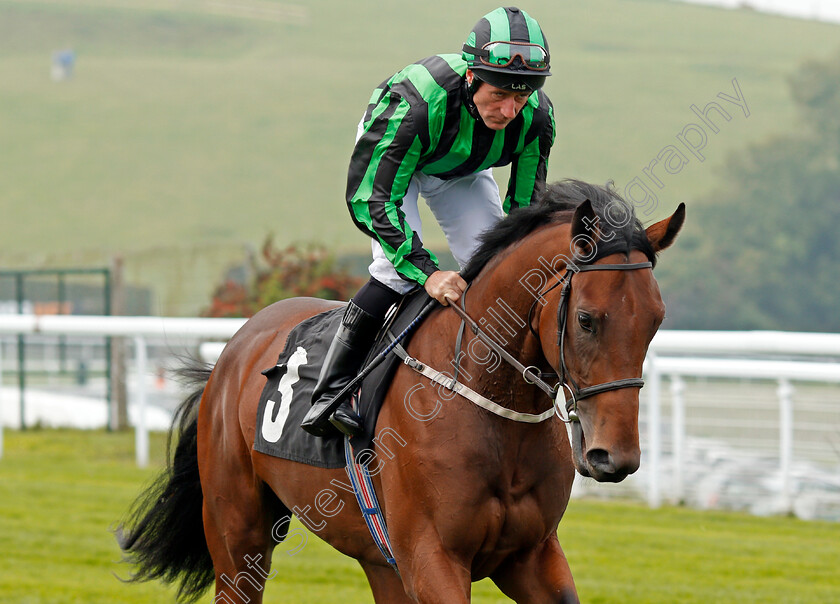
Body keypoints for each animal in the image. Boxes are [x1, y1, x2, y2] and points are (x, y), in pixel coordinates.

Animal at [118, 180, 684, 604]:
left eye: (656, 321)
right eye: (587, 320)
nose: (615, 456)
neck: (490, 405)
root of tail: (235, 347)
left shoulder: (533, 555)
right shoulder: (433, 559)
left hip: (377, 556)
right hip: (238, 533)